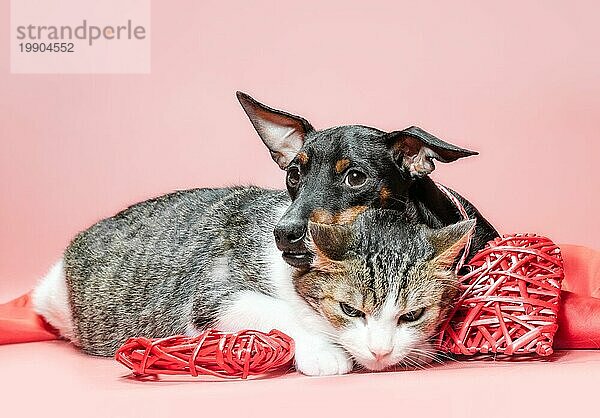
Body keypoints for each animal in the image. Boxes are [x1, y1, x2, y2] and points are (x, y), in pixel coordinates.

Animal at [32, 186, 474, 376]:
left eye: (412, 315)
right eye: (350, 309)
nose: (381, 352)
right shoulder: (212, 293)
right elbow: (274, 310)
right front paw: (324, 350)